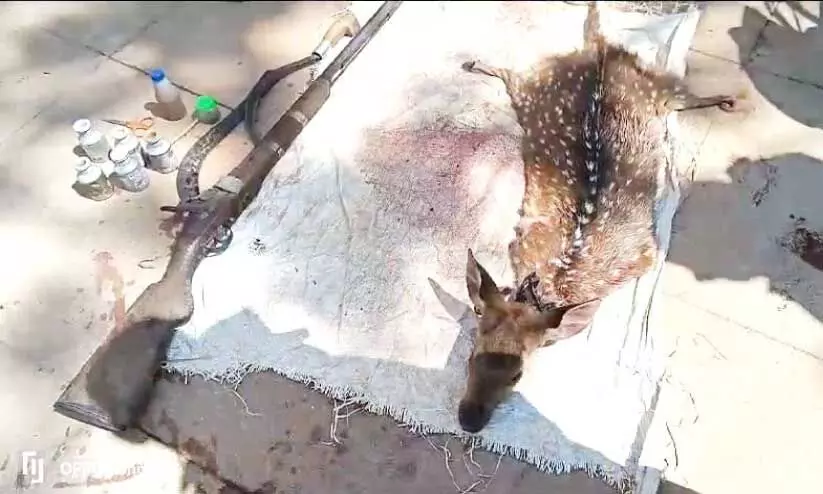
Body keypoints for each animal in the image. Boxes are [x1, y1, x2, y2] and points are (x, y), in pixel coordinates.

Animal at [457, 1, 743, 434]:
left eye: (517, 374)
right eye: (472, 355)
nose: (469, 419)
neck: (559, 275)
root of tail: (600, 54)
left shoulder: (645, 255)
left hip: (645, 88)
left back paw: (728, 99)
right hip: (548, 89)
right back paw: (473, 61)